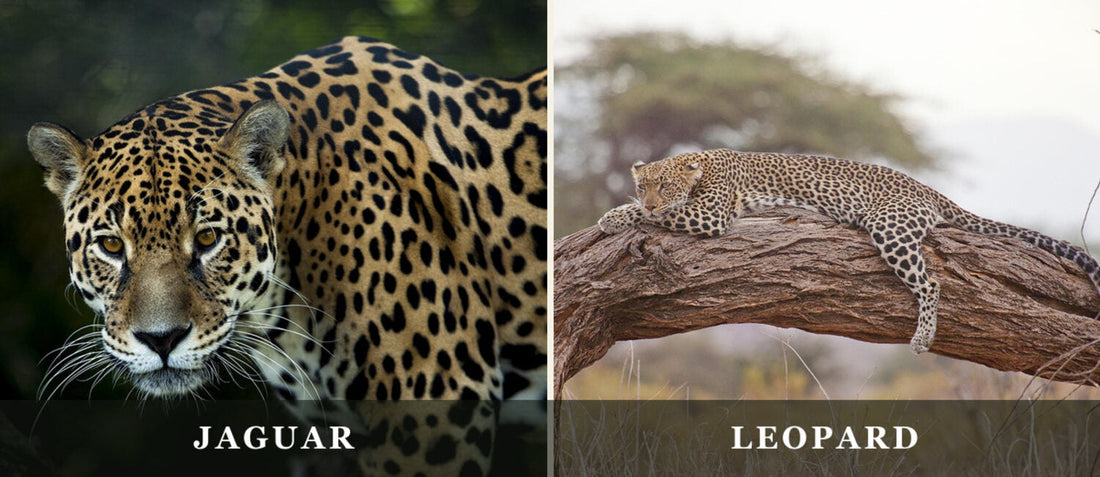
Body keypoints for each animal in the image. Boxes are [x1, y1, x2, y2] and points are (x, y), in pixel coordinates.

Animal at [599, 149, 1100, 354]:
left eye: (663, 186)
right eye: (643, 184)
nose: (649, 198)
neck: (701, 167)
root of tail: (929, 190)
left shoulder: (711, 215)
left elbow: (659, 216)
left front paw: (614, 217)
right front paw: (619, 212)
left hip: (890, 227)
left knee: (931, 281)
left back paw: (922, 338)